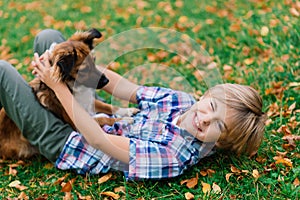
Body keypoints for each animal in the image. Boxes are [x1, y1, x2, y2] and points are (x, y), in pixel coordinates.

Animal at [0, 28, 138, 159]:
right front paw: (124, 119)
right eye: (84, 70)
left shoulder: (88, 102)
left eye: (94, 61)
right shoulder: (76, 124)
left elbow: (106, 106)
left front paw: (126, 111)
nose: (106, 81)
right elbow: (103, 118)